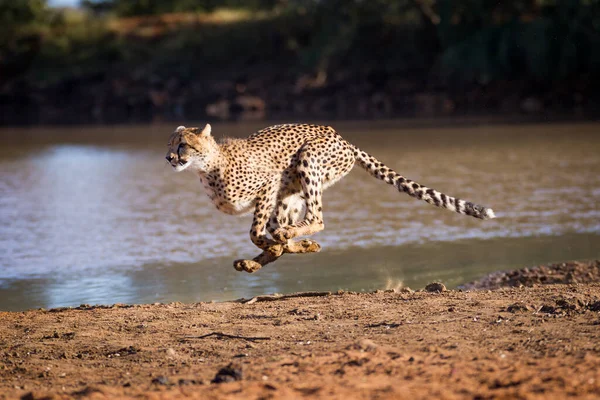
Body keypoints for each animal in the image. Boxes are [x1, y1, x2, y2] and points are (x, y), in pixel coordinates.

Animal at [166, 122, 494, 272]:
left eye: (183, 145)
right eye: (170, 144)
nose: (168, 157)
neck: (208, 167)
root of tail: (341, 136)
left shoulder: (269, 183)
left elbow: (255, 232)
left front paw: (276, 246)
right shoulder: (273, 194)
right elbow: (269, 238)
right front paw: (284, 249)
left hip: (308, 159)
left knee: (317, 218)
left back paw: (286, 242)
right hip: (290, 195)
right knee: (292, 226)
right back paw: (274, 254)